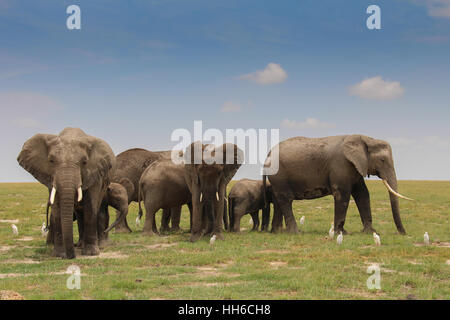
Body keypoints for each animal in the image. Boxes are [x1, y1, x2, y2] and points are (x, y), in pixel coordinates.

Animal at [17, 127, 116, 258]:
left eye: (84, 162)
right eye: (51, 161)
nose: (71, 256)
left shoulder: (95, 172)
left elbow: (90, 207)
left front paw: (91, 253)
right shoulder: (51, 177)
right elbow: (57, 210)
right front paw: (59, 254)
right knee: (79, 214)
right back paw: (79, 245)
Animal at [262, 134, 414, 235]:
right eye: (382, 160)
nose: (402, 233)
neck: (365, 138)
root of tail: (268, 154)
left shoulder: (355, 167)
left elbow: (363, 194)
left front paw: (369, 232)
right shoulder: (341, 165)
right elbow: (343, 195)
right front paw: (341, 233)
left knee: (278, 201)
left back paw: (277, 232)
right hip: (280, 175)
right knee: (286, 199)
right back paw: (295, 232)